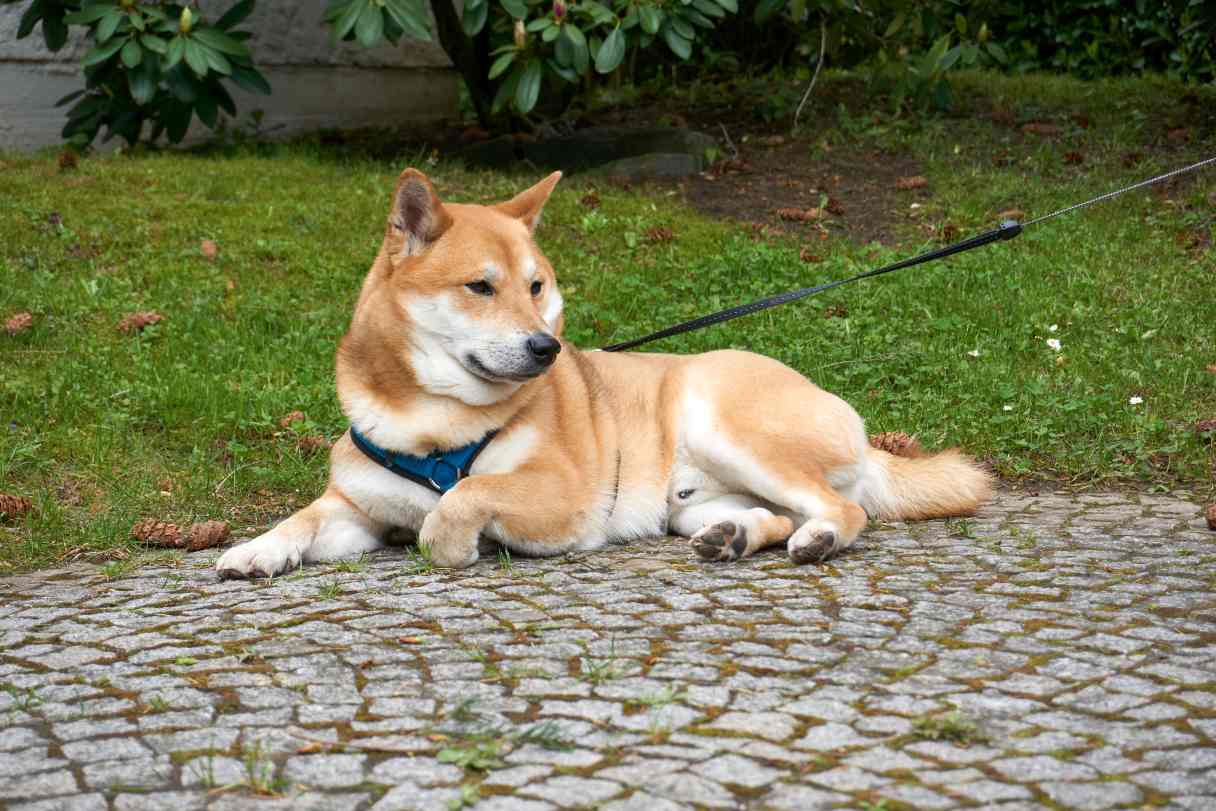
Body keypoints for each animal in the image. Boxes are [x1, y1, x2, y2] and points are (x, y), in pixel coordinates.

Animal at [214, 167, 992, 581]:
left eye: (536, 286)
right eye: (480, 286)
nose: (545, 349)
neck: (430, 421)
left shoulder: (565, 496)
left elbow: (461, 501)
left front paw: (460, 542)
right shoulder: (357, 506)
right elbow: (303, 517)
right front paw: (254, 549)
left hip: (724, 418)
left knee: (843, 510)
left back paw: (820, 539)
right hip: (691, 502)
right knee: (770, 514)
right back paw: (737, 538)